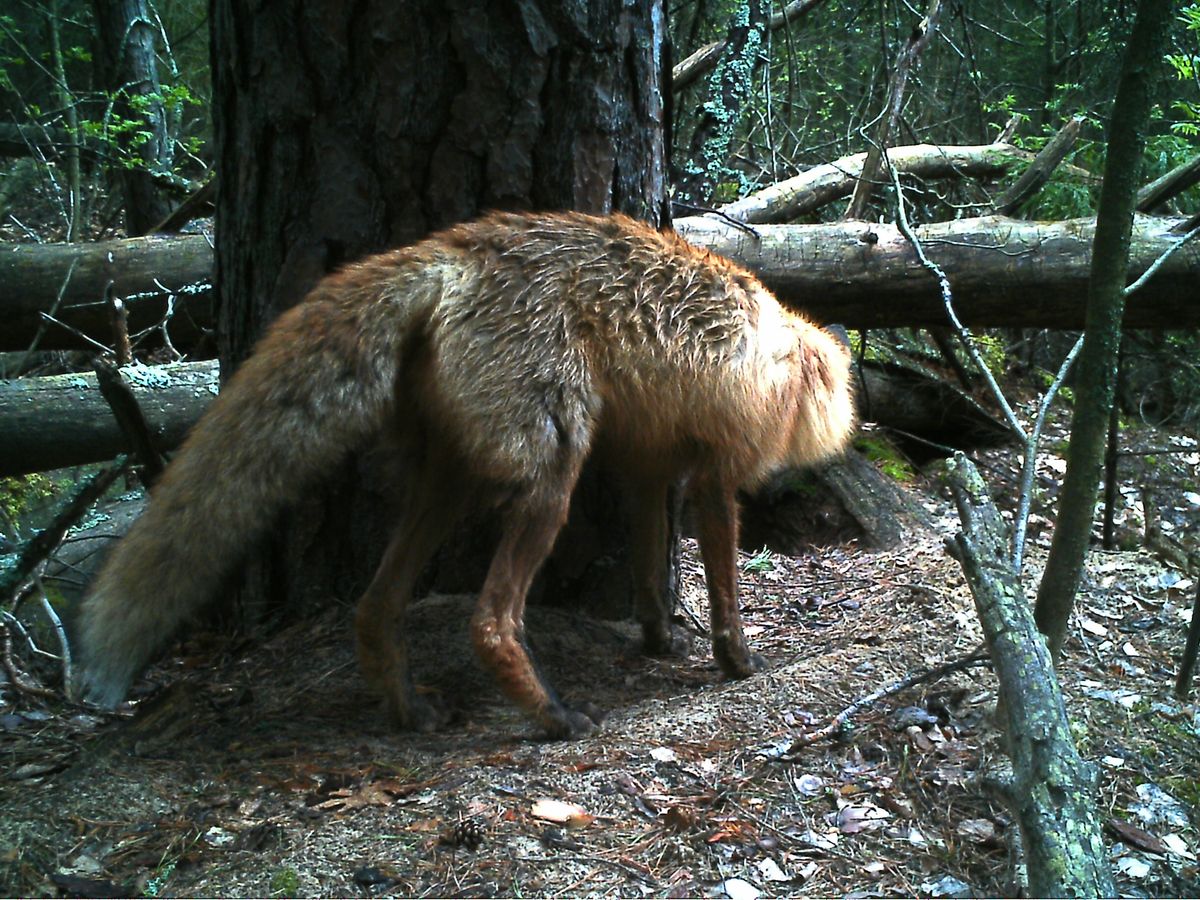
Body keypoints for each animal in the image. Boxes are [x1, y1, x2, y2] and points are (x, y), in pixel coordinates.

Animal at [70, 211, 854, 739]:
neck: (784, 344)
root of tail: (450, 247)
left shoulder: (645, 472)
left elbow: (647, 574)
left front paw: (661, 640)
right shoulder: (714, 475)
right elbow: (723, 583)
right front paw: (737, 658)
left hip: (447, 485)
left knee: (374, 606)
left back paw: (409, 709)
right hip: (550, 478)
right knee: (490, 622)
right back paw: (551, 716)